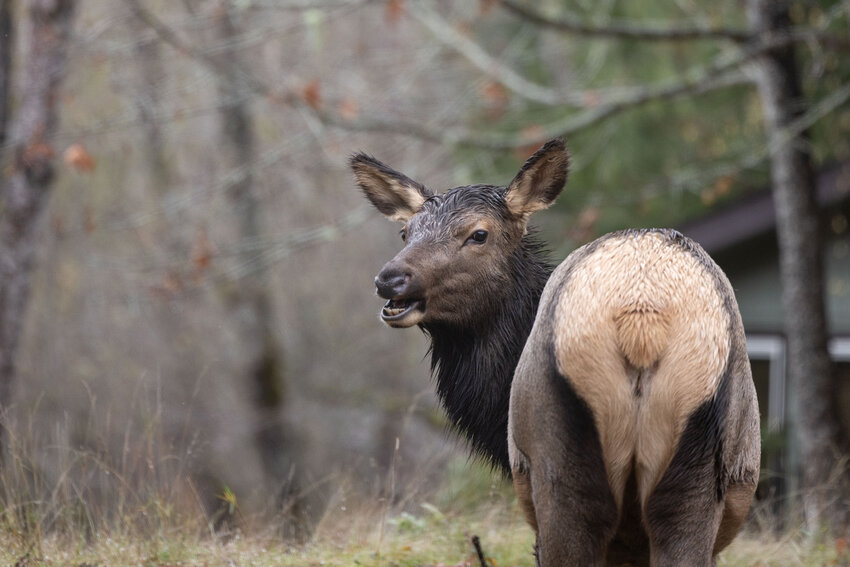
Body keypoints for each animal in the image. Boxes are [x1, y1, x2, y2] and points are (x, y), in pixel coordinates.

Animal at [351, 139, 760, 567]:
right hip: (693, 468)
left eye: (479, 234)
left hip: (560, 458)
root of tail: (640, 316)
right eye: (405, 231)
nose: (390, 279)